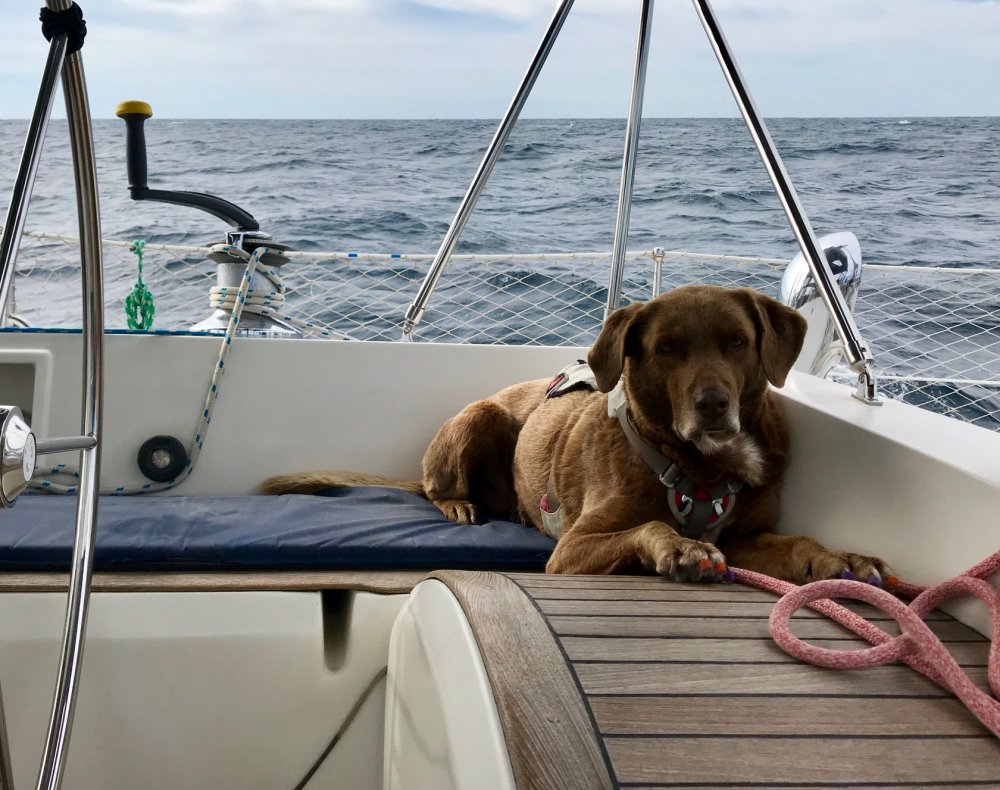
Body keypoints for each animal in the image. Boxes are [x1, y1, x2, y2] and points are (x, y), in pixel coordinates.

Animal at [260, 288, 892, 584]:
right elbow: (649, 526)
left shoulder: (747, 539)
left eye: (737, 342)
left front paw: (841, 558)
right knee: (440, 488)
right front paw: (682, 547)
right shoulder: (571, 549)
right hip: (479, 418)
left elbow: (799, 542)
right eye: (667, 349)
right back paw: (459, 504)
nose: (713, 406)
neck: (701, 466)